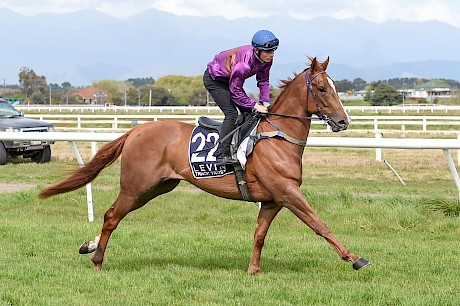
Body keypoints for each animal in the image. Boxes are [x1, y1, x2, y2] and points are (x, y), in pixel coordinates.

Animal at [39, 58, 370, 274]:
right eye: (322, 89)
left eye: (335, 87)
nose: (343, 121)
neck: (277, 137)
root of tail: (136, 130)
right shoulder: (287, 192)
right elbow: (319, 224)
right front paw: (355, 258)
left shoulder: (272, 200)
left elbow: (259, 235)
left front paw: (253, 270)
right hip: (137, 185)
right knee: (110, 216)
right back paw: (97, 260)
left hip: (156, 187)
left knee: (115, 215)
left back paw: (89, 246)